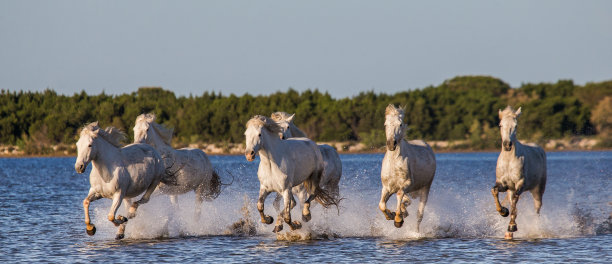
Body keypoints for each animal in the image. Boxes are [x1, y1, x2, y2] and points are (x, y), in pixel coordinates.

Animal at [490, 105, 548, 239]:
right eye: (500, 125)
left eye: (515, 125)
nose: (507, 145)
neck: (508, 160)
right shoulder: (503, 185)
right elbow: (494, 191)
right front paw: (503, 212)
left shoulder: (520, 184)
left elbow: (515, 201)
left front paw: (512, 226)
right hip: (511, 189)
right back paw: (508, 233)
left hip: (538, 189)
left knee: (537, 209)